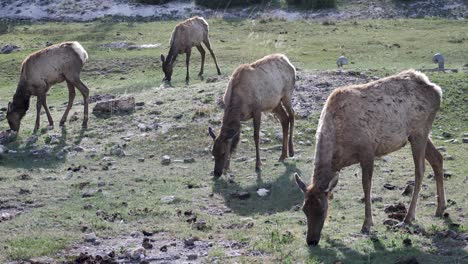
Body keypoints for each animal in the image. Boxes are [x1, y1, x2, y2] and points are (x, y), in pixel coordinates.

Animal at [296, 69, 446, 245]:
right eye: (304, 209)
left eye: (322, 210)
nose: (311, 241)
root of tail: (437, 91)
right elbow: (333, 191)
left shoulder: (367, 150)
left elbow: (366, 186)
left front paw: (367, 224)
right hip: (417, 134)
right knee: (438, 158)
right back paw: (440, 208)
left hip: (419, 131)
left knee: (420, 170)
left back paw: (409, 217)